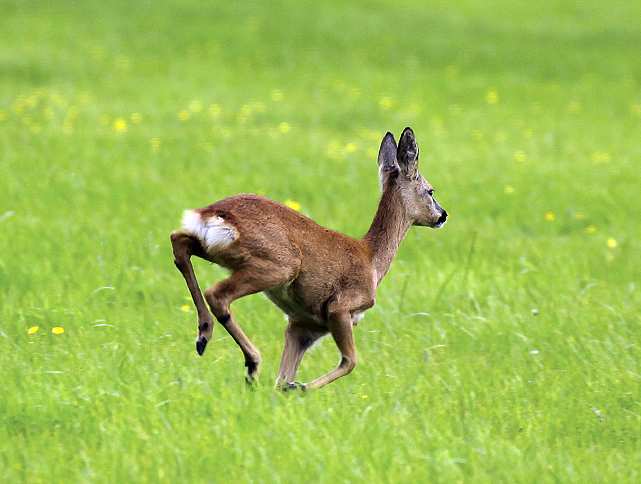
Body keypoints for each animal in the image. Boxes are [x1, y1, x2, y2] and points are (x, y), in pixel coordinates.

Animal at [170, 127, 447, 391]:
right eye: (430, 190)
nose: (443, 215)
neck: (372, 260)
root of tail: (213, 213)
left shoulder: (303, 325)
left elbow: (281, 378)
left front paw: (288, 388)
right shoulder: (340, 308)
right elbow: (350, 362)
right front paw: (299, 387)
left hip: (219, 251)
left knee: (179, 241)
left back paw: (205, 338)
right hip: (279, 265)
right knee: (217, 293)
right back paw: (251, 362)